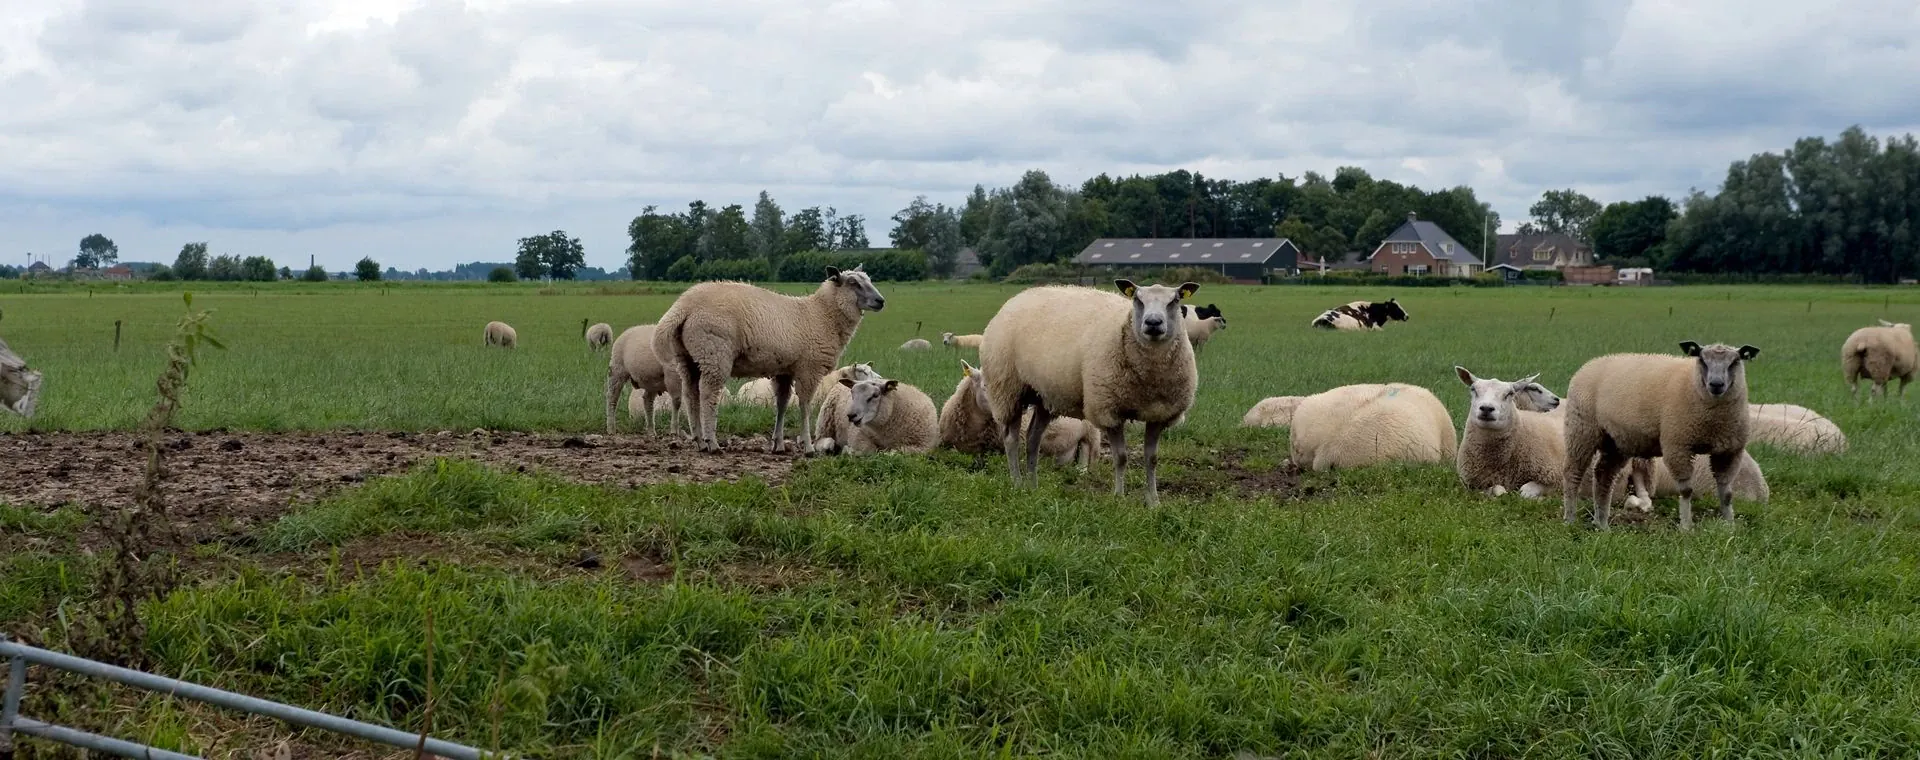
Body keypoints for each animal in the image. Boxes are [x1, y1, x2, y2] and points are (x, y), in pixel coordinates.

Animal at [653, 265, 886, 453]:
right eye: (853, 283)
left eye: (869, 280)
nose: (881, 301)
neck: (821, 315)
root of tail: (683, 306)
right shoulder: (809, 369)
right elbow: (805, 406)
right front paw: (808, 446)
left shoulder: (784, 371)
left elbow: (781, 404)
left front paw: (779, 444)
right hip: (714, 353)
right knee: (708, 395)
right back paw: (712, 443)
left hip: (687, 357)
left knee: (691, 395)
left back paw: (699, 441)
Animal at [980, 280, 1200, 505]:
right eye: (1137, 299)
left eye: (1175, 300)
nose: (1153, 323)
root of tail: (1015, 299)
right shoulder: (1108, 409)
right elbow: (1121, 457)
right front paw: (1118, 497)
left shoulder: (1159, 414)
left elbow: (1152, 459)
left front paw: (1154, 502)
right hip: (1007, 389)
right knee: (1011, 439)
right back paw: (1017, 482)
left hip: (1044, 396)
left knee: (1033, 439)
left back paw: (1033, 486)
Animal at [1454, 367, 1568, 499]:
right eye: (1473, 389)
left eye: (1510, 393)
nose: (1486, 408)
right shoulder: (1473, 484)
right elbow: (1499, 491)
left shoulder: (1556, 480)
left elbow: (1525, 491)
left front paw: (1539, 498)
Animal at [1561, 341, 1761, 530]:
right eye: (1702, 360)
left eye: (1735, 361)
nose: (1716, 384)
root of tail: (1591, 363)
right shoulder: (1677, 446)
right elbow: (1686, 490)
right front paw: (1686, 527)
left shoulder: (1730, 451)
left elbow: (1726, 493)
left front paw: (1729, 525)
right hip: (1582, 431)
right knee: (1572, 473)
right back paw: (1570, 519)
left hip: (1616, 441)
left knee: (1604, 475)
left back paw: (1602, 524)